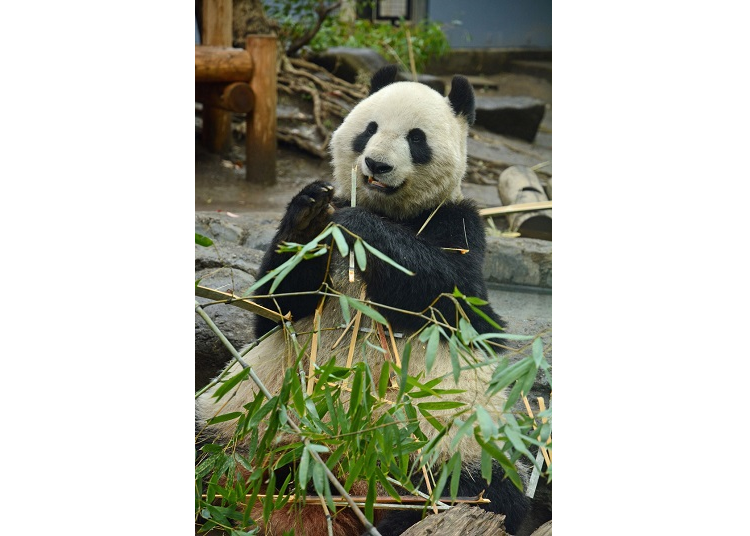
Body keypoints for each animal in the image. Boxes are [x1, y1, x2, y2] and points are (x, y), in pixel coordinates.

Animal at [197, 65, 532, 532]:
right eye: (369, 129)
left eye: (416, 139)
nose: (377, 164)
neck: (390, 211)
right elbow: (276, 305)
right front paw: (309, 211)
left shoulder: (461, 226)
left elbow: (457, 297)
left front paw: (359, 223)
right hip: (246, 414)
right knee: (210, 448)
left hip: (452, 437)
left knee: (483, 488)